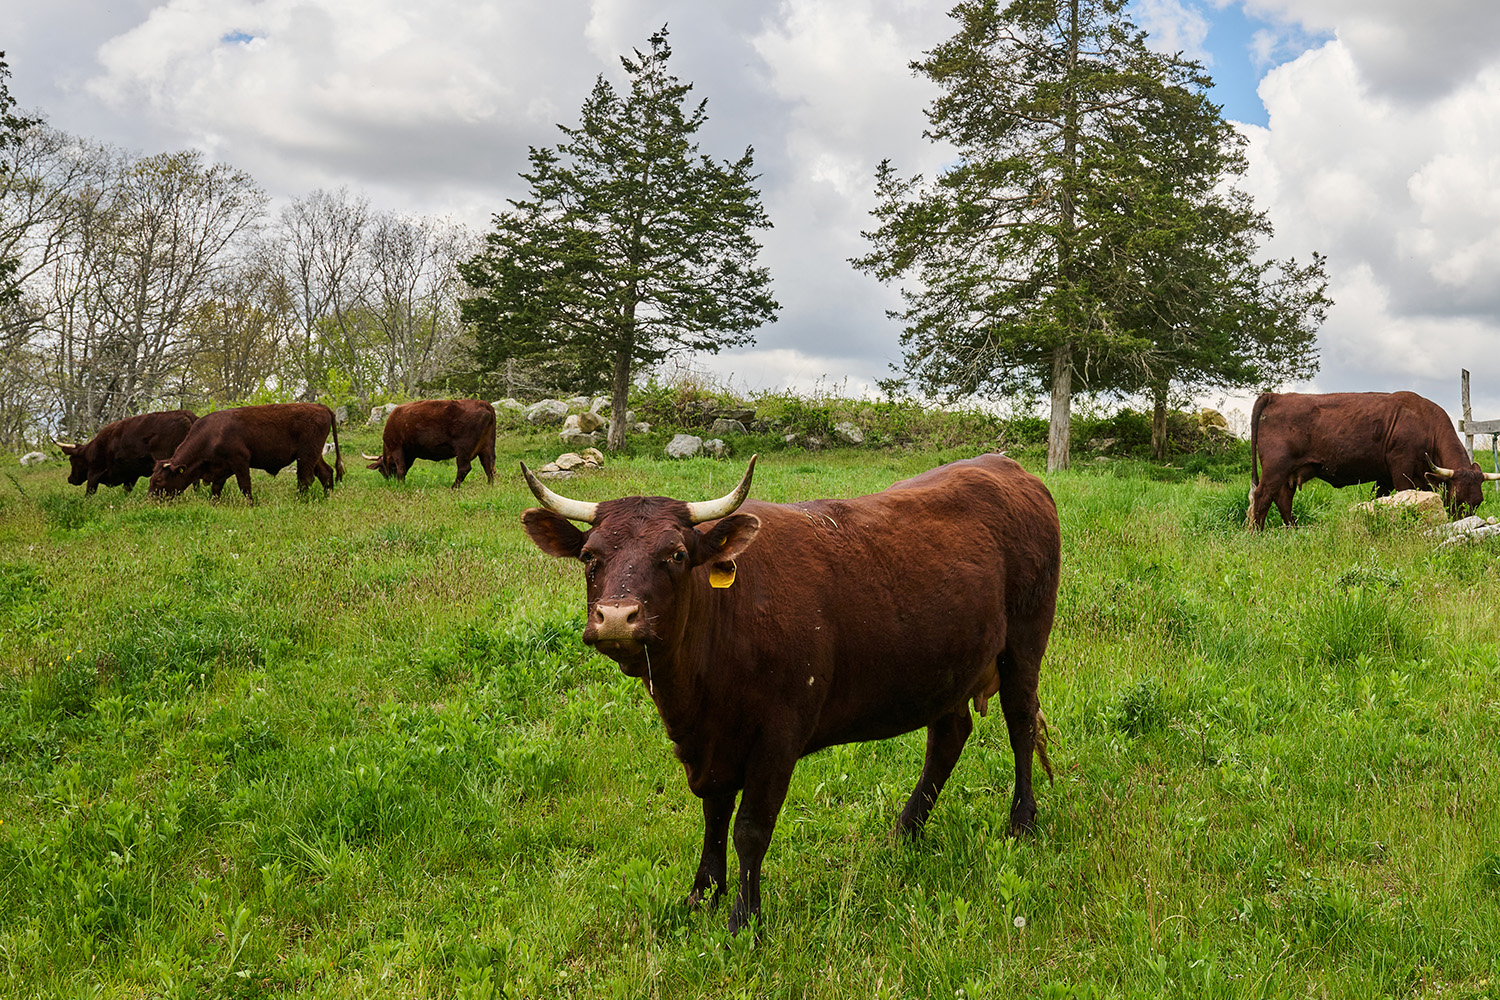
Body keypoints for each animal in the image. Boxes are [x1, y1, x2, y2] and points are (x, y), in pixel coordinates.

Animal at [55, 409, 198, 495]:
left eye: (71, 460)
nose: (70, 479)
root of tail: (185, 413)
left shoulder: (94, 474)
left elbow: (89, 493)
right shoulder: (131, 475)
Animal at [148, 403, 344, 499]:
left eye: (158, 480)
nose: (150, 499)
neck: (213, 433)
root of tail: (321, 407)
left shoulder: (240, 462)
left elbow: (245, 487)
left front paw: (251, 504)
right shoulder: (221, 469)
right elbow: (216, 489)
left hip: (306, 456)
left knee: (305, 480)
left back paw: (300, 500)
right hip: (313, 456)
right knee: (326, 473)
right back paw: (328, 497)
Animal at [361, 398, 496, 488]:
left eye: (380, 470)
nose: (389, 481)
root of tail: (483, 403)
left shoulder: (397, 448)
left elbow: (401, 469)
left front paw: (401, 486)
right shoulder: (409, 454)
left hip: (463, 450)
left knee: (464, 468)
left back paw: (453, 488)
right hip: (486, 447)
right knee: (488, 466)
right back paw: (490, 486)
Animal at [519, 453, 1061, 934]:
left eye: (675, 554)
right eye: (590, 556)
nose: (616, 617)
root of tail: (1008, 468)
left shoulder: (778, 736)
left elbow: (750, 829)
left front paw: (744, 920)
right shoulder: (711, 744)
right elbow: (714, 815)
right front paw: (702, 895)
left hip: (1025, 642)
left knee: (1020, 723)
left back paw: (1021, 822)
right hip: (948, 666)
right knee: (948, 737)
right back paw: (903, 832)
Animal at [1248, 390, 1499, 529]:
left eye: (1478, 501)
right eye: (1456, 499)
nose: (1466, 525)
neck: (1426, 425)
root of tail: (1274, 396)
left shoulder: (1385, 478)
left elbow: (1378, 500)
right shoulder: (1401, 471)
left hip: (1289, 473)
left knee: (1283, 499)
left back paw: (1293, 529)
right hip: (1275, 468)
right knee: (1262, 497)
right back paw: (1256, 534)